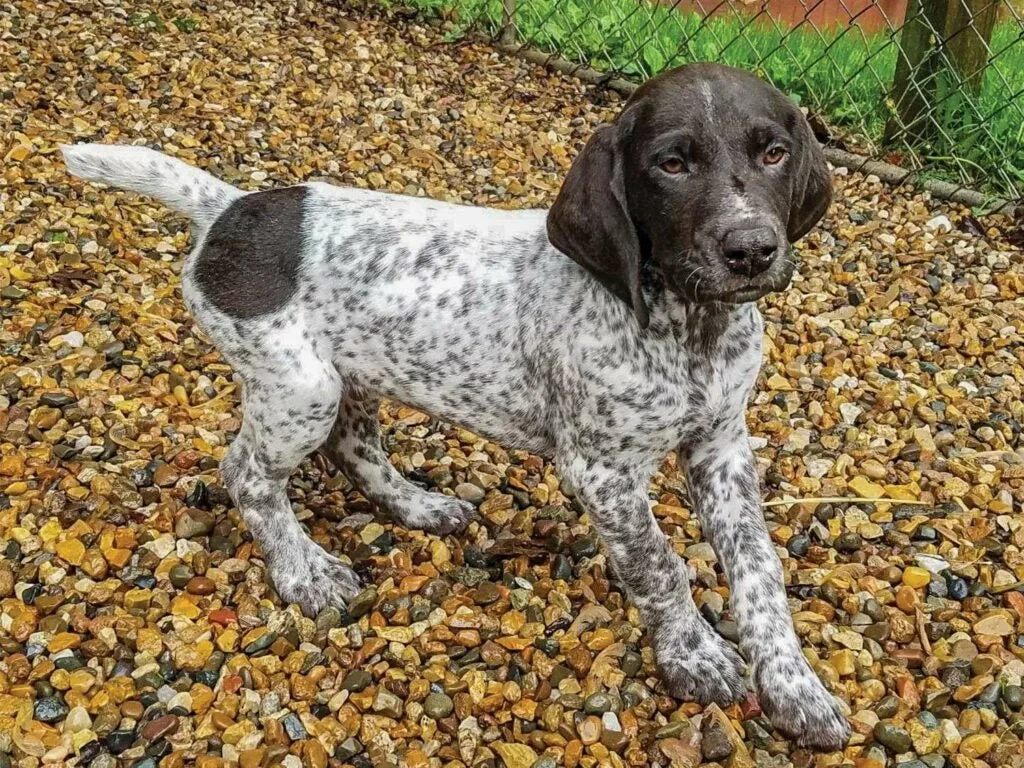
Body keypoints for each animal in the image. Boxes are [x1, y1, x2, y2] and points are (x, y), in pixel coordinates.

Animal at [61, 64, 847, 753]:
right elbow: (659, 566)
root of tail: (229, 208)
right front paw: (693, 654)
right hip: (300, 387)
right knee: (249, 475)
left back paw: (418, 506)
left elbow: (759, 573)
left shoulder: (723, 447)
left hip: (353, 372)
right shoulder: (601, 471)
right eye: (673, 164)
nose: (752, 249)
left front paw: (795, 687)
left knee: (353, 450)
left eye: (773, 153)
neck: (691, 330)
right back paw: (305, 572)